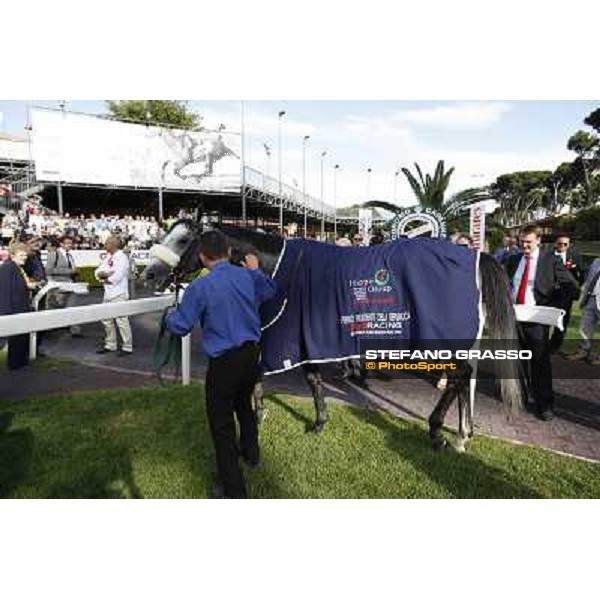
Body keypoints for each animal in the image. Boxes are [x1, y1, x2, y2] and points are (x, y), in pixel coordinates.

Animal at [143, 219, 524, 450]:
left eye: (182, 239)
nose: (149, 274)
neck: (278, 268)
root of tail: (476, 256)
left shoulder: (291, 334)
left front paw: (270, 415)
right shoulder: (303, 337)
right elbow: (306, 380)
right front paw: (313, 420)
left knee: (459, 378)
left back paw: (438, 432)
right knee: (464, 379)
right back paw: (462, 435)